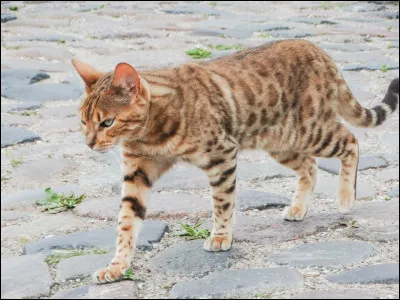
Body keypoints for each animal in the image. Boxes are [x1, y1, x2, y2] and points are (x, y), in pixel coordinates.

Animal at [70, 39, 398, 284]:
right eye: (83, 120)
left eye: (107, 122)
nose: (89, 143)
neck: (151, 135)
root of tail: (317, 49)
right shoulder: (137, 172)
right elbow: (127, 222)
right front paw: (117, 266)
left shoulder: (221, 155)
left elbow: (222, 202)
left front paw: (220, 237)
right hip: (281, 142)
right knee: (310, 166)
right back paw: (298, 208)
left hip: (309, 131)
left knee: (351, 141)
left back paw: (345, 197)